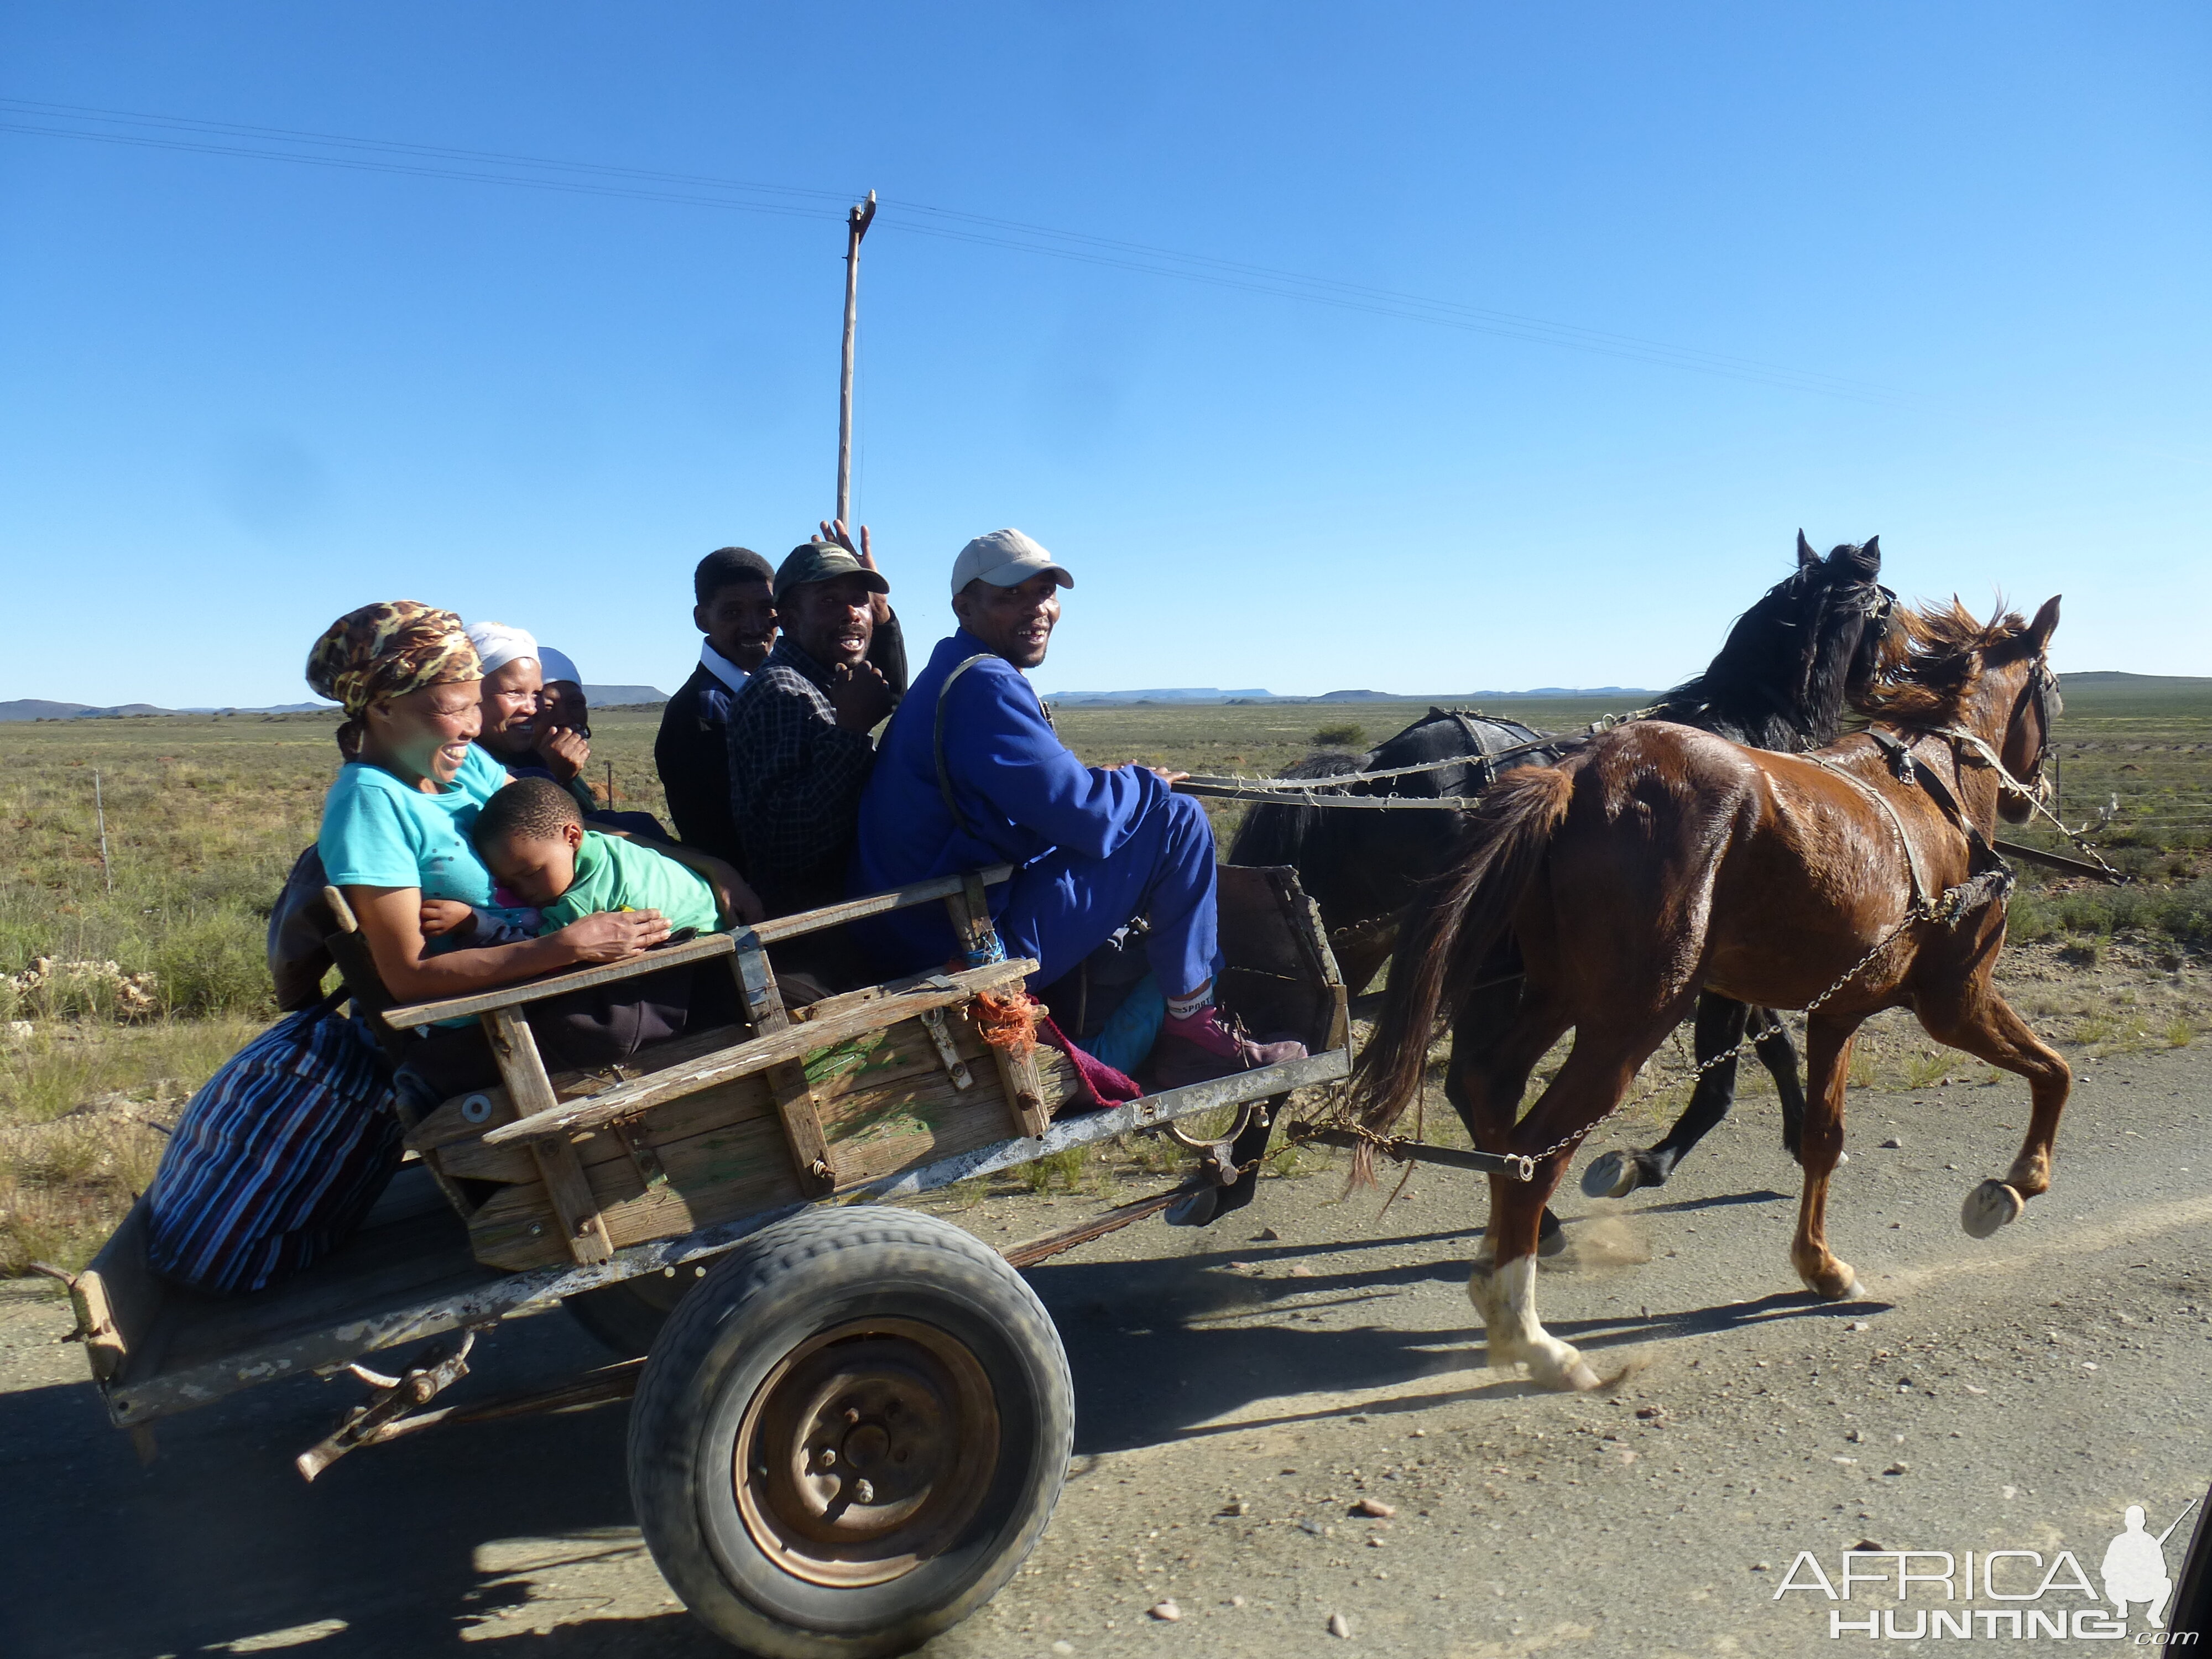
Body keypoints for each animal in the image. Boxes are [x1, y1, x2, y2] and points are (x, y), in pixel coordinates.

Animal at [1230, 542, 1902, 1212]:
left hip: (1361, 936)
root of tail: (1378, 768)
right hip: (1483, 964)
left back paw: (1234, 1178)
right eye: (1885, 614)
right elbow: (1753, 1051)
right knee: (1470, 1080)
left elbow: (1768, 1045)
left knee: (1305, 1044)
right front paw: (1706, 1152)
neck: (1746, 727)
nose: (1889, 682)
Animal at [1354, 597, 2062, 1389]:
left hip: (1552, 994)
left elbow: (1821, 1137)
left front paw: (1821, 1266)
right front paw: (2015, 1184)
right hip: (1632, 1017)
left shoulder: (1838, 1012)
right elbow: (2053, 1072)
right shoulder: (1955, 998)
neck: (1935, 785)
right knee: (1534, 1152)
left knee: (1488, 1097)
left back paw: (1497, 1268)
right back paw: (1531, 1335)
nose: (2035, 794)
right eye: (2053, 690)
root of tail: (1572, 779)